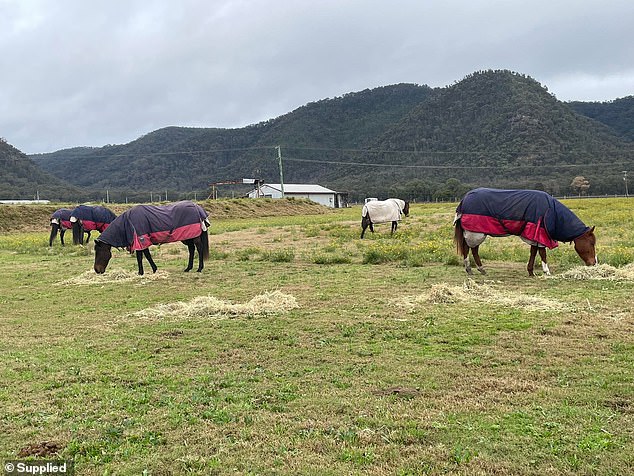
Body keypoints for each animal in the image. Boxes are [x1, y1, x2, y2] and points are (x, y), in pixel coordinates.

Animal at [452, 186, 596, 276]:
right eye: (592, 243)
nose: (594, 263)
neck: (551, 211)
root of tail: (465, 199)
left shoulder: (534, 236)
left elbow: (533, 252)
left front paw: (531, 271)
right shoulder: (541, 234)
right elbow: (542, 253)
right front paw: (546, 271)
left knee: (471, 249)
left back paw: (475, 269)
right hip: (475, 233)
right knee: (471, 249)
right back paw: (474, 269)